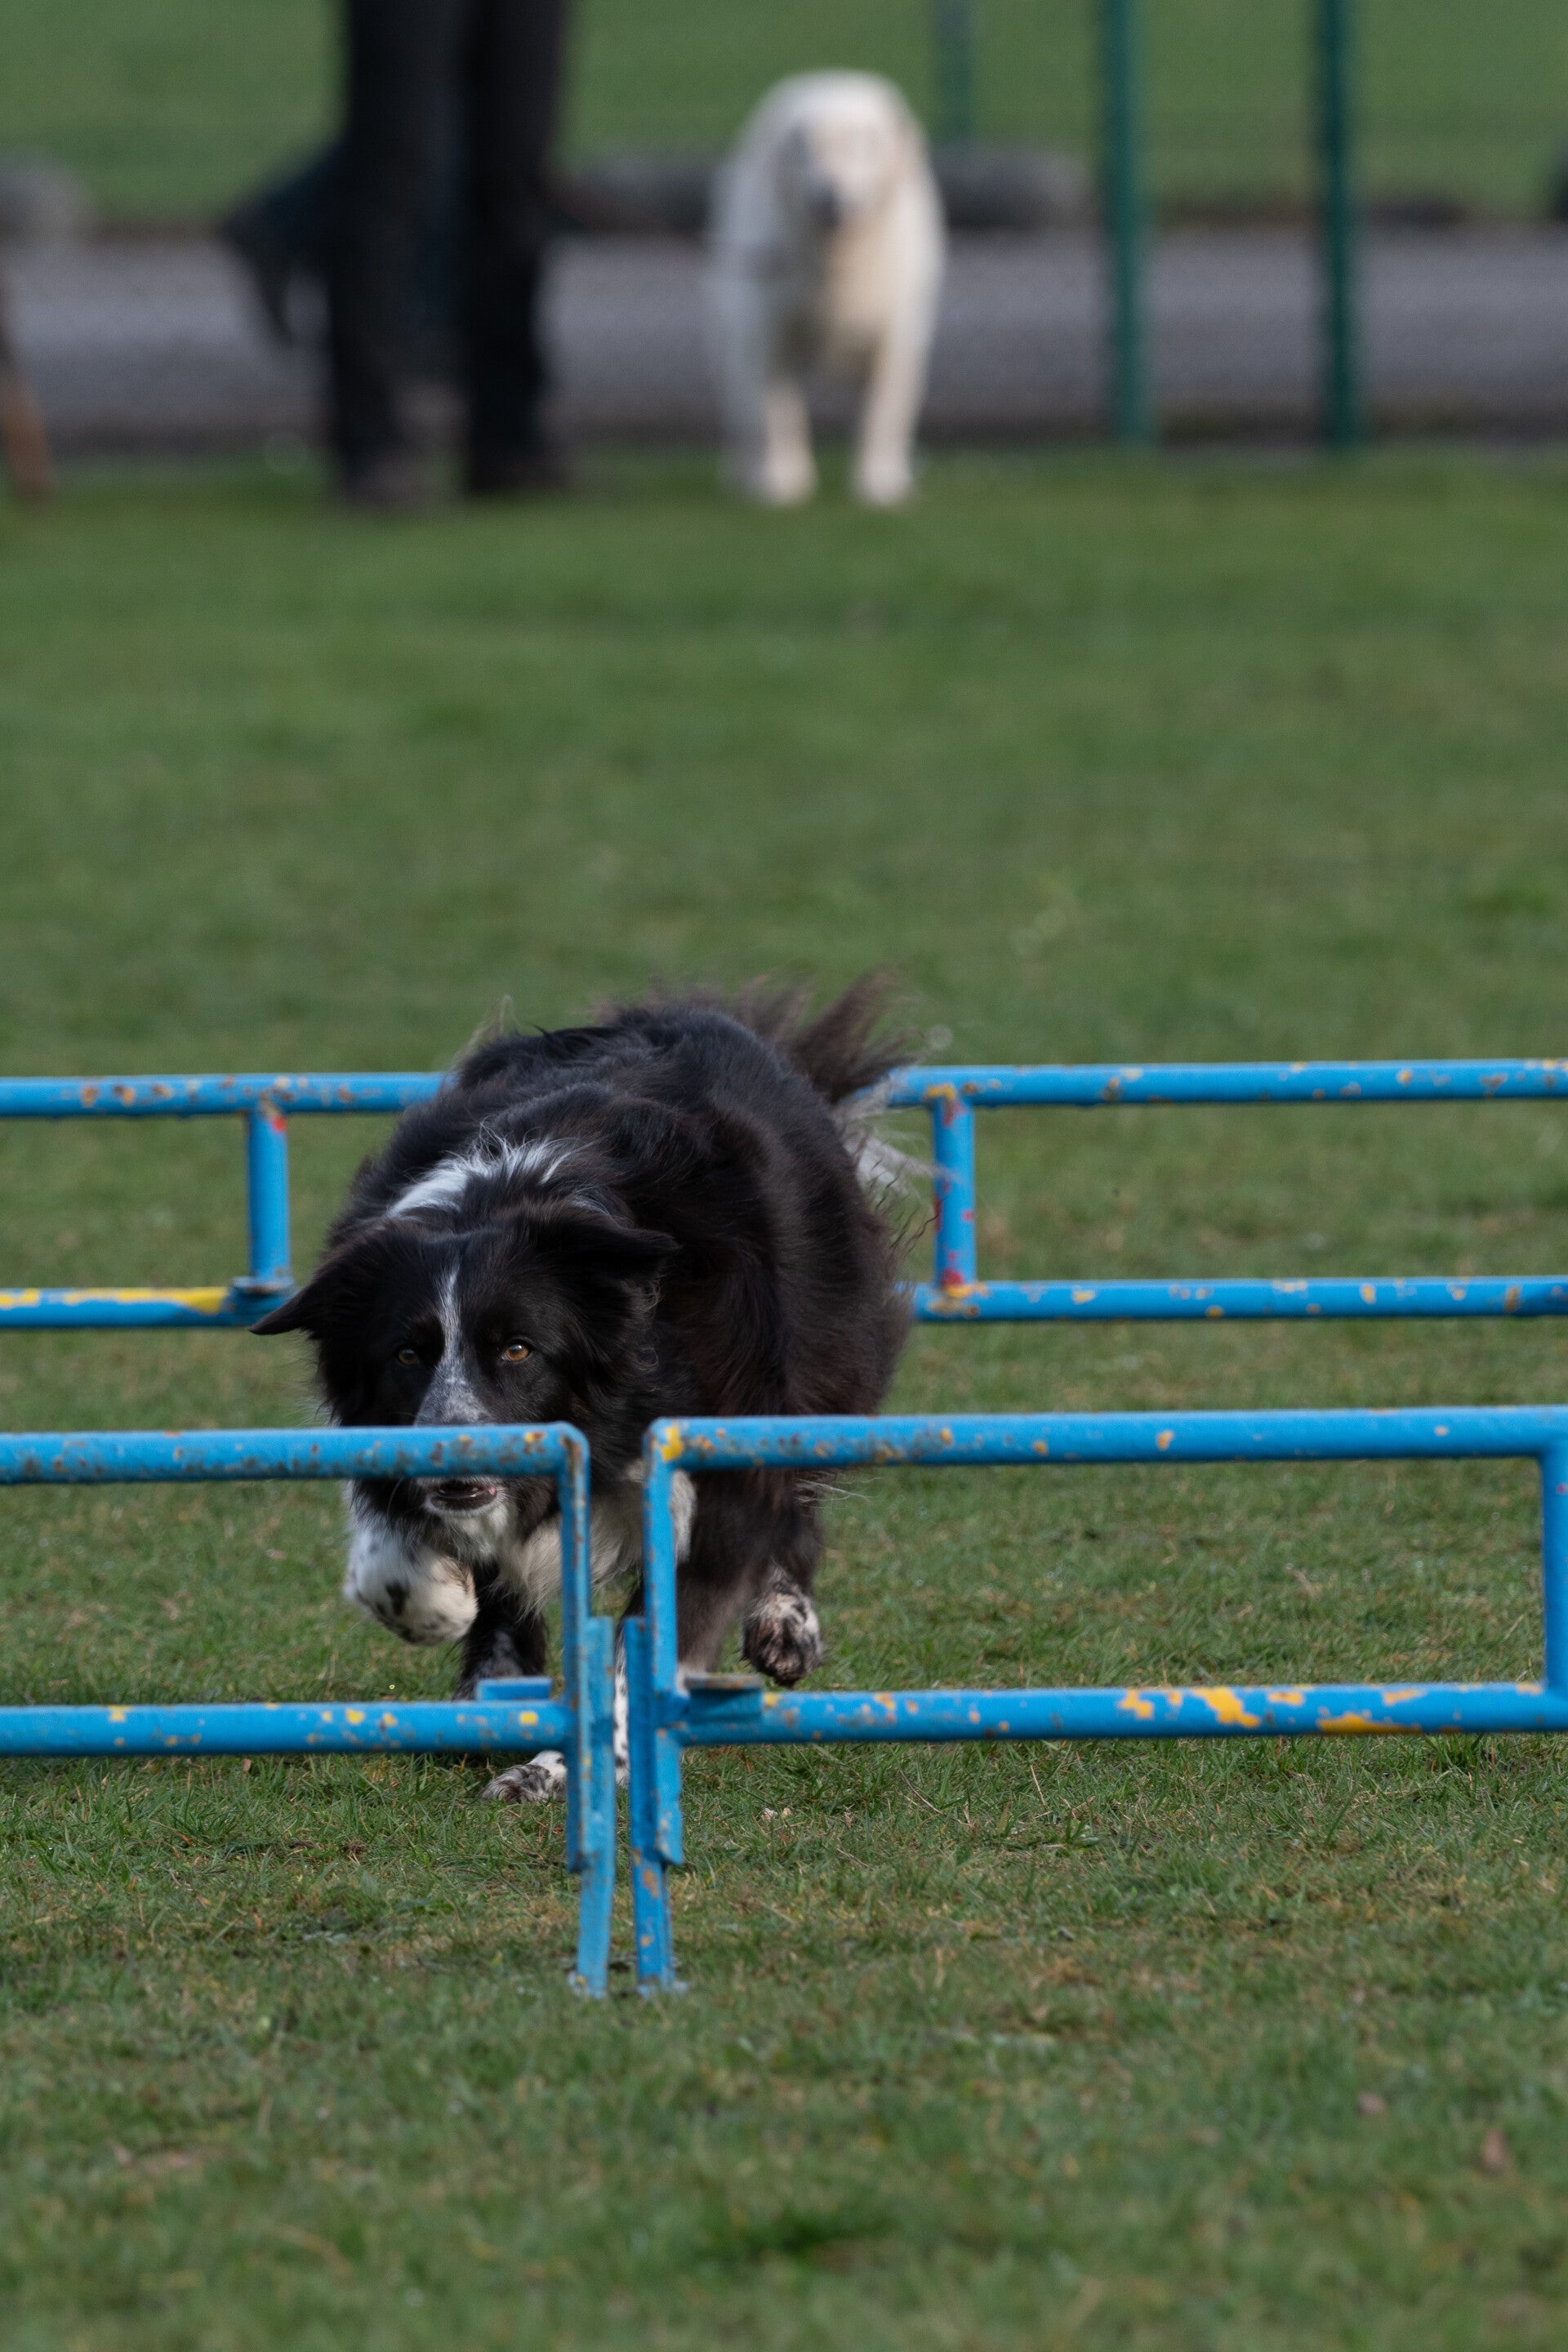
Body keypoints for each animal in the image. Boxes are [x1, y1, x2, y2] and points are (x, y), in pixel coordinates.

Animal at [254, 983, 911, 1800]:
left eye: (518, 1348)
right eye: (407, 1353)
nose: (454, 1461)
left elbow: (671, 1612)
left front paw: (564, 1765)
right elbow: (408, 1551)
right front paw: (444, 1617)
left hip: (821, 1350)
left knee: (799, 1485)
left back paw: (784, 1626)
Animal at [708, 72, 945, 508]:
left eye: (863, 146)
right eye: (805, 151)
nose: (831, 197)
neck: (837, 268)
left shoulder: (898, 336)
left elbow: (883, 415)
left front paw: (879, 488)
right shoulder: (766, 332)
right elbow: (772, 413)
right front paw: (781, 484)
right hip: (728, 326)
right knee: (740, 401)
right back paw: (744, 474)